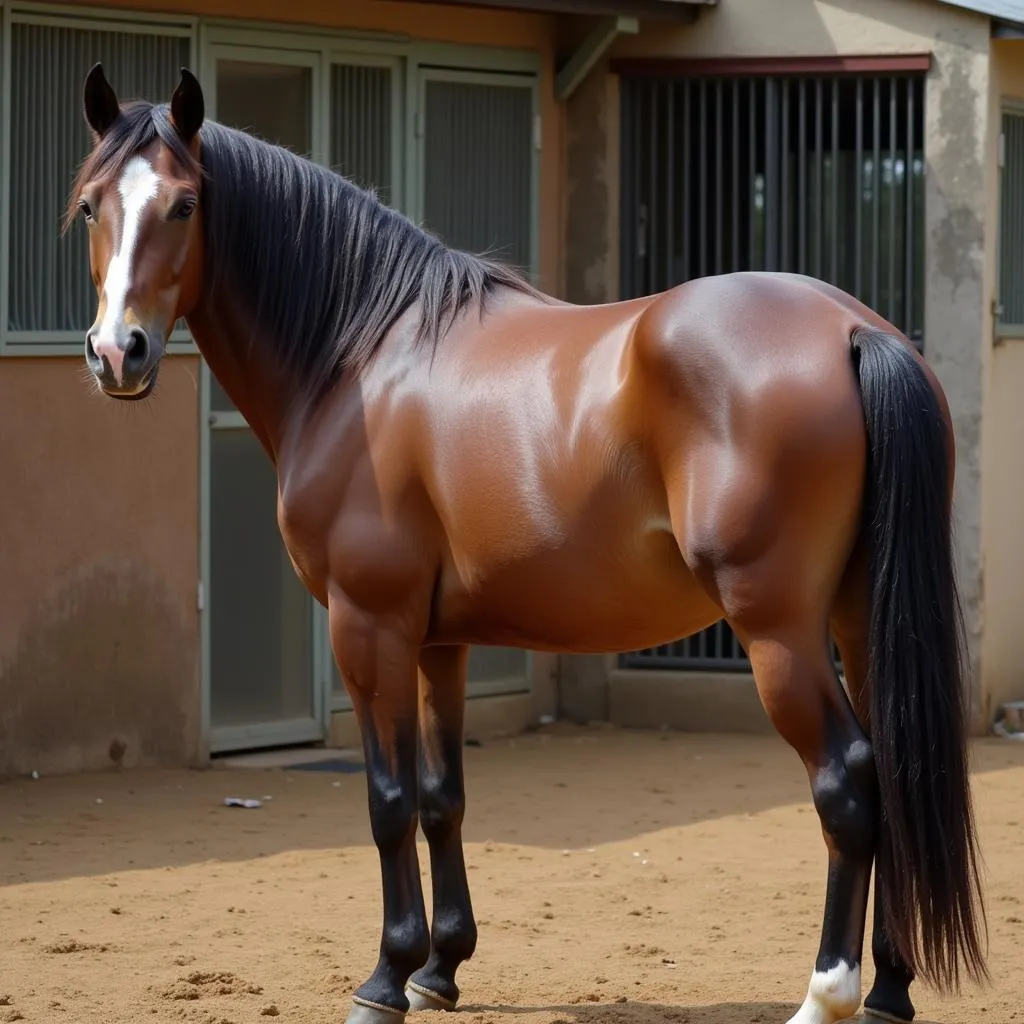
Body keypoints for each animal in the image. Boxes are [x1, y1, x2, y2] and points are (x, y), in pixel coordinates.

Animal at [68, 66, 987, 1024]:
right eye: (91, 205)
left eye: (183, 204)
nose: (117, 352)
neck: (360, 355)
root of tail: (853, 332)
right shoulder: (439, 640)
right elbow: (443, 797)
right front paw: (439, 968)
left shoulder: (368, 626)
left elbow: (388, 801)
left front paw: (385, 978)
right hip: (856, 615)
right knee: (895, 770)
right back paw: (887, 987)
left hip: (779, 629)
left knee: (847, 780)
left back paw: (826, 993)